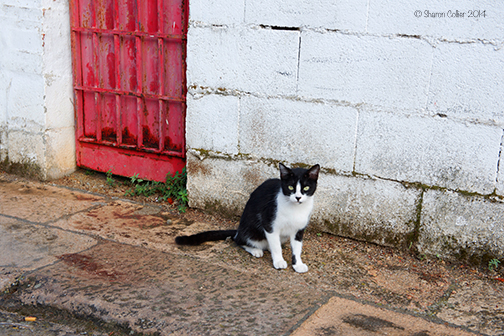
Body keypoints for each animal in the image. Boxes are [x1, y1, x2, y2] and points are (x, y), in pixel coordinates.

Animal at [175, 163, 320, 272]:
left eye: (306, 188)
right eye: (290, 187)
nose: (298, 197)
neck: (295, 209)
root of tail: (239, 229)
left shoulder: (299, 229)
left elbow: (297, 248)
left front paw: (297, 264)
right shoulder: (269, 224)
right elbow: (276, 246)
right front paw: (279, 261)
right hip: (250, 230)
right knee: (239, 240)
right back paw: (255, 249)